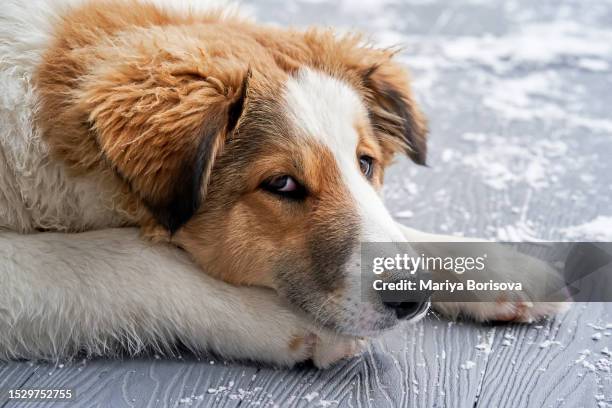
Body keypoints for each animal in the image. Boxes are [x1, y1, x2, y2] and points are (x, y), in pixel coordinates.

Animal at [0, 0, 568, 366]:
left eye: (365, 164)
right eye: (283, 184)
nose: (413, 299)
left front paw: (502, 269)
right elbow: (118, 259)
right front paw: (279, 321)